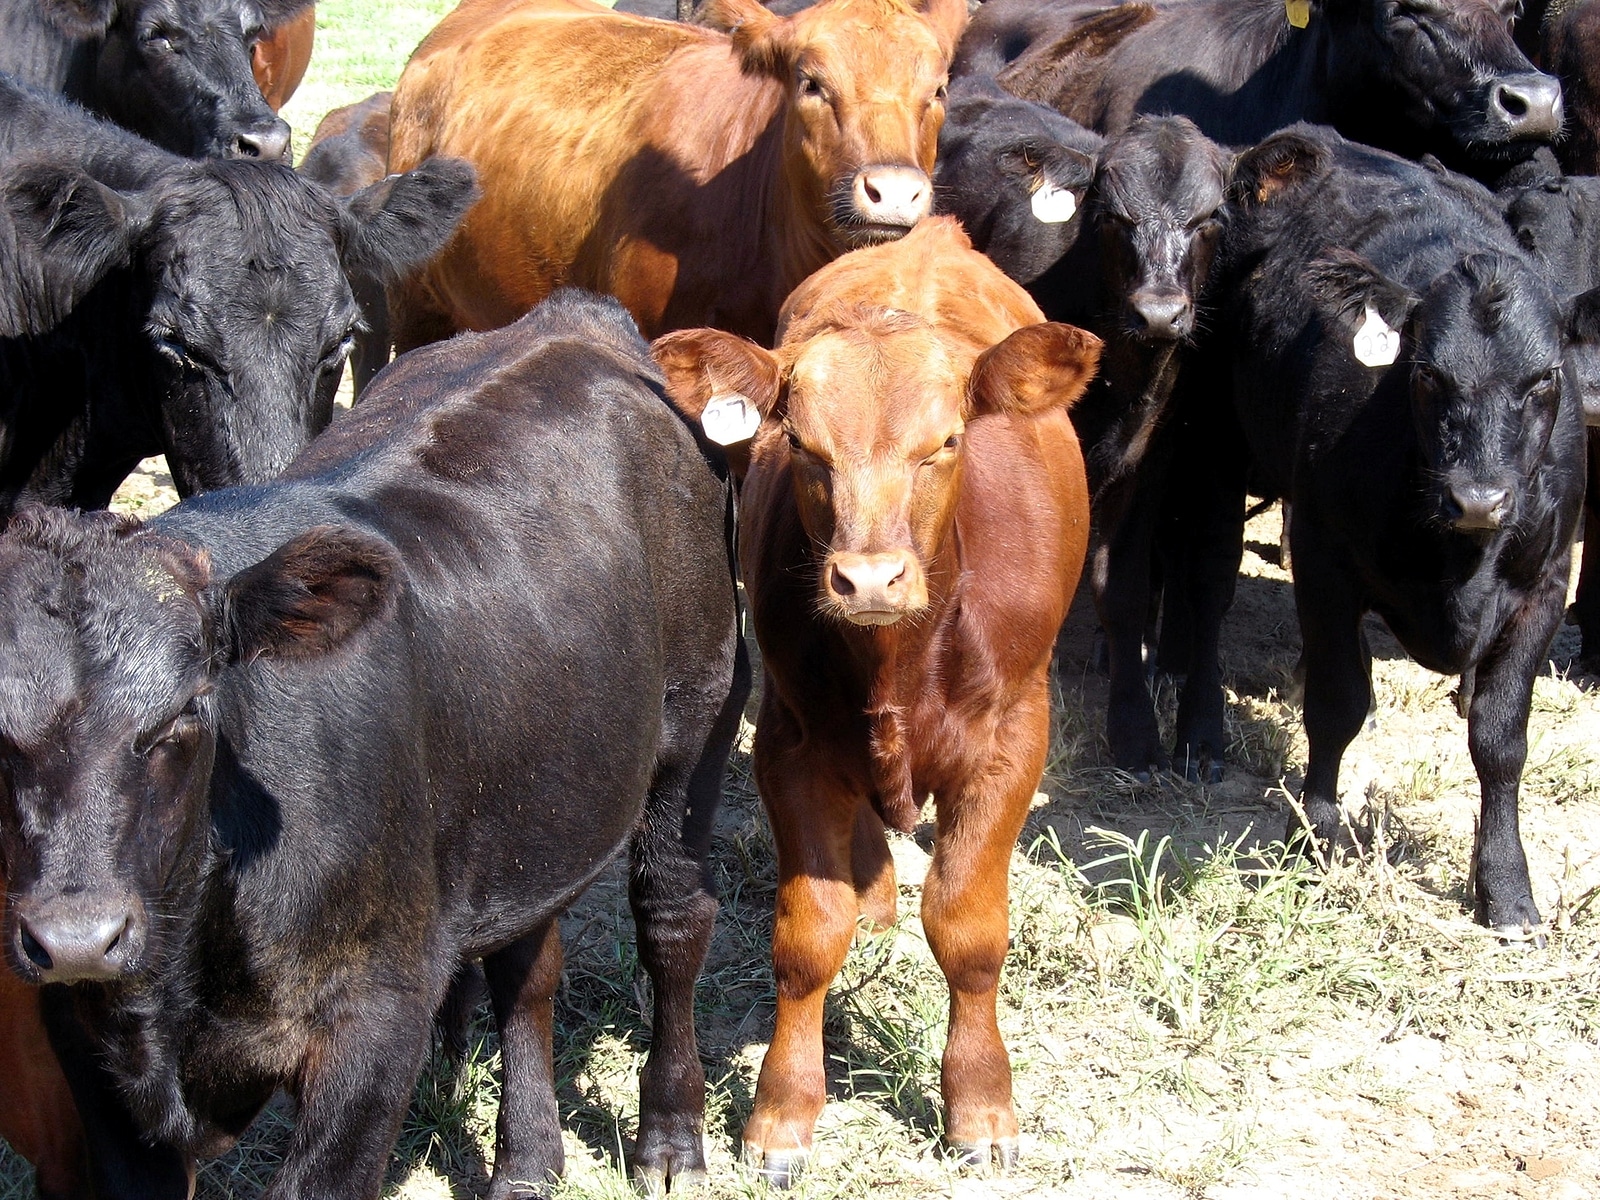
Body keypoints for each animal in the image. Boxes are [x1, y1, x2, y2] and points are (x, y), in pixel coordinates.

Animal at [0, 288, 746, 1198]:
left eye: (185, 710)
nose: (77, 937)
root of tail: (574, 319)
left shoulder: (374, 1023)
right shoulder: (85, 1048)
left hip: (695, 726)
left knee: (672, 918)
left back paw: (669, 1138)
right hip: (530, 795)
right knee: (525, 966)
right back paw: (527, 1161)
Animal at [654, 216, 1099, 1182]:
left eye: (947, 442)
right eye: (805, 448)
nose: (867, 579)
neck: (904, 660)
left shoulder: (1016, 740)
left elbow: (969, 928)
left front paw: (979, 1102)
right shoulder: (788, 741)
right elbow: (806, 936)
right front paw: (783, 1114)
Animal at [1196, 124, 1599, 940]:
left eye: (1545, 380)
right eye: (1425, 374)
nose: (1479, 497)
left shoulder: (1546, 587)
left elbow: (1501, 739)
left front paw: (1507, 889)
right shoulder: (1324, 559)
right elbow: (1336, 704)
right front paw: (1317, 833)